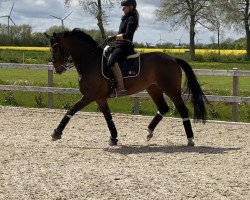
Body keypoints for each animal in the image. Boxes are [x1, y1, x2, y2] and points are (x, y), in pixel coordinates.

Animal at [45, 28, 207, 146]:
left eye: (56, 49)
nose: (57, 69)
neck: (91, 61)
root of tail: (173, 58)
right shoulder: (99, 98)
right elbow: (108, 117)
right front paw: (114, 138)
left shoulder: (90, 95)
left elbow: (71, 110)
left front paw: (56, 133)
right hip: (153, 88)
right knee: (163, 108)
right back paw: (149, 132)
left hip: (171, 89)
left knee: (182, 109)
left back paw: (190, 139)